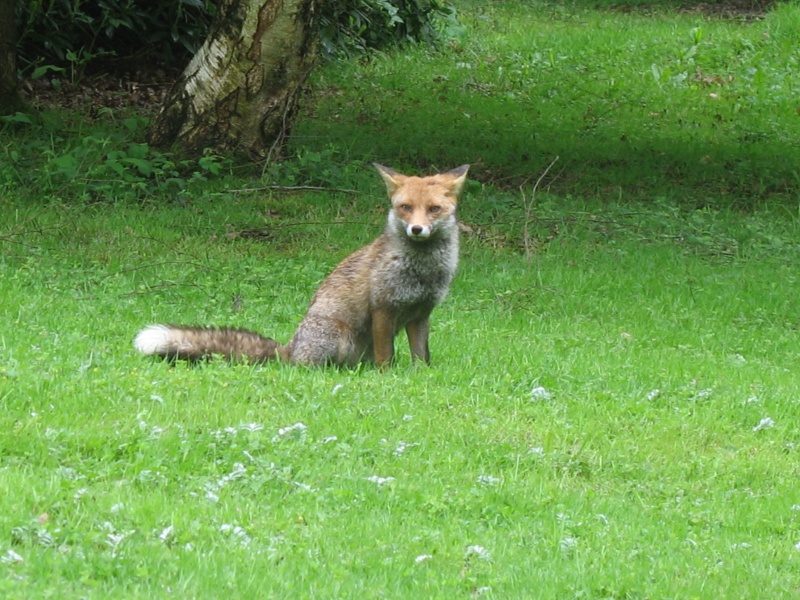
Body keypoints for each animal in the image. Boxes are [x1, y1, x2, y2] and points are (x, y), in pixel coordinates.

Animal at [133, 164, 468, 370]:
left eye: (433, 209)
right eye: (406, 208)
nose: (416, 229)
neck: (422, 270)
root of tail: (291, 347)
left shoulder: (420, 313)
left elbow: (421, 356)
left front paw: (420, 375)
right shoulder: (383, 309)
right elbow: (387, 357)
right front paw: (387, 378)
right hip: (339, 337)